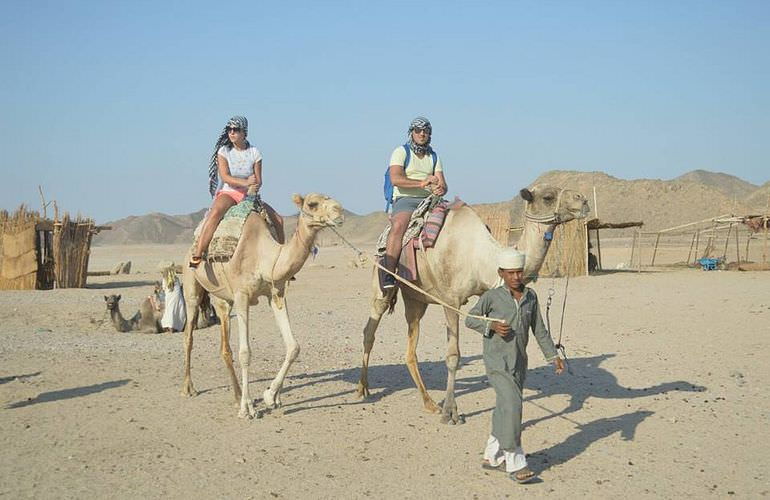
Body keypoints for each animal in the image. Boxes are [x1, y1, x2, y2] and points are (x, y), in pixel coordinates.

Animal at [180, 193, 342, 420]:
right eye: (312, 204)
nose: (339, 211)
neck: (264, 256)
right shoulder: (242, 296)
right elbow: (245, 353)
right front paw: (247, 409)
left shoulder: (276, 294)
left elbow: (293, 346)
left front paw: (271, 396)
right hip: (191, 286)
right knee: (189, 336)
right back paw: (189, 388)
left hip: (223, 300)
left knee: (225, 347)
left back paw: (236, 395)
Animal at [356, 186, 588, 424]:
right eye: (548, 197)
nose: (583, 200)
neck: (480, 255)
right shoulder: (450, 299)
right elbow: (453, 356)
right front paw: (451, 412)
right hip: (382, 282)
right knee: (370, 330)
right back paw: (363, 388)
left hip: (416, 298)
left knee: (410, 346)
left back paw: (429, 403)